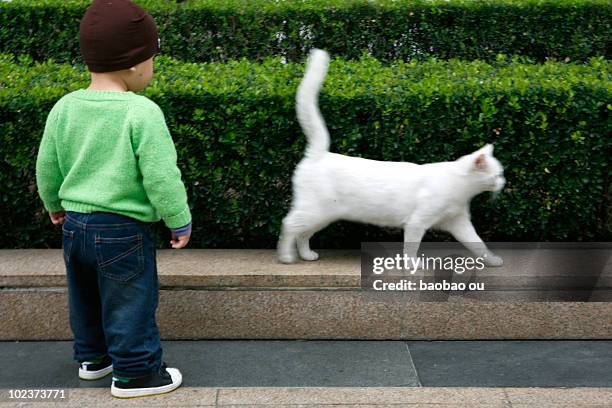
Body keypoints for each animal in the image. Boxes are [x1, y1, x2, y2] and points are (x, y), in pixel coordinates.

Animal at [278, 48, 506, 268]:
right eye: (497, 175)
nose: (503, 182)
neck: (460, 187)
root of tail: (320, 153)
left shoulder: (459, 223)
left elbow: (478, 244)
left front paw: (492, 260)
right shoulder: (417, 222)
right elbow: (411, 247)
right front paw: (412, 265)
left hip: (322, 216)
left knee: (302, 233)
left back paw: (306, 255)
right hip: (315, 211)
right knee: (289, 224)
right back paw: (286, 257)